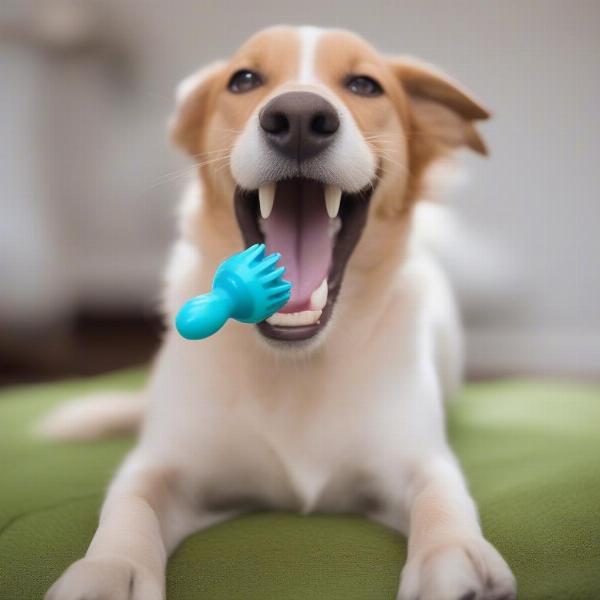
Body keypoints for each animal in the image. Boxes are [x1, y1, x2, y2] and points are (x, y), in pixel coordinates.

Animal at [42, 24, 516, 600]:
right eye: (244, 79)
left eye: (364, 85)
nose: (299, 119)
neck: (295, 366)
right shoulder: (167, 464)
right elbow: (130, 504)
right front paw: (111, 569)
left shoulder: (414, 459)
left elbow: (442, 496)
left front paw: (453, 554)